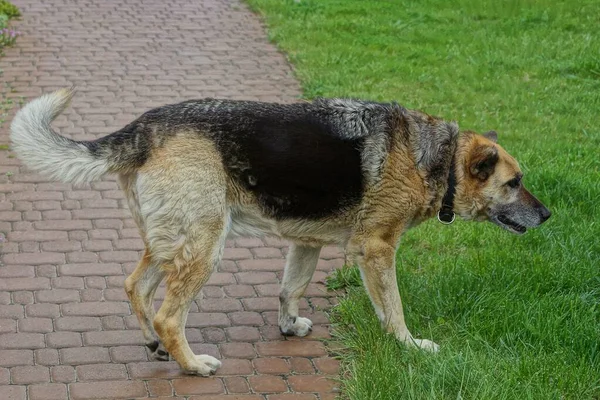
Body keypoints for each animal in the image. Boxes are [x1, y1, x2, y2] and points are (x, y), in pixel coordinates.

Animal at [10, 87, 552, 376]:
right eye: (515, 183)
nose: (548, 216)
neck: (434, 159)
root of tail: (144, 126)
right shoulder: (376, 249)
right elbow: (393, 309)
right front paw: (409, 346)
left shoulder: (304, 244)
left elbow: (290, 290)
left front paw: (289, 328)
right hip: (205, 246)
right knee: (167, 313)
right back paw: (192, 364)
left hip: (171, 241)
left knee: (134, 287)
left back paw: (154, 346)